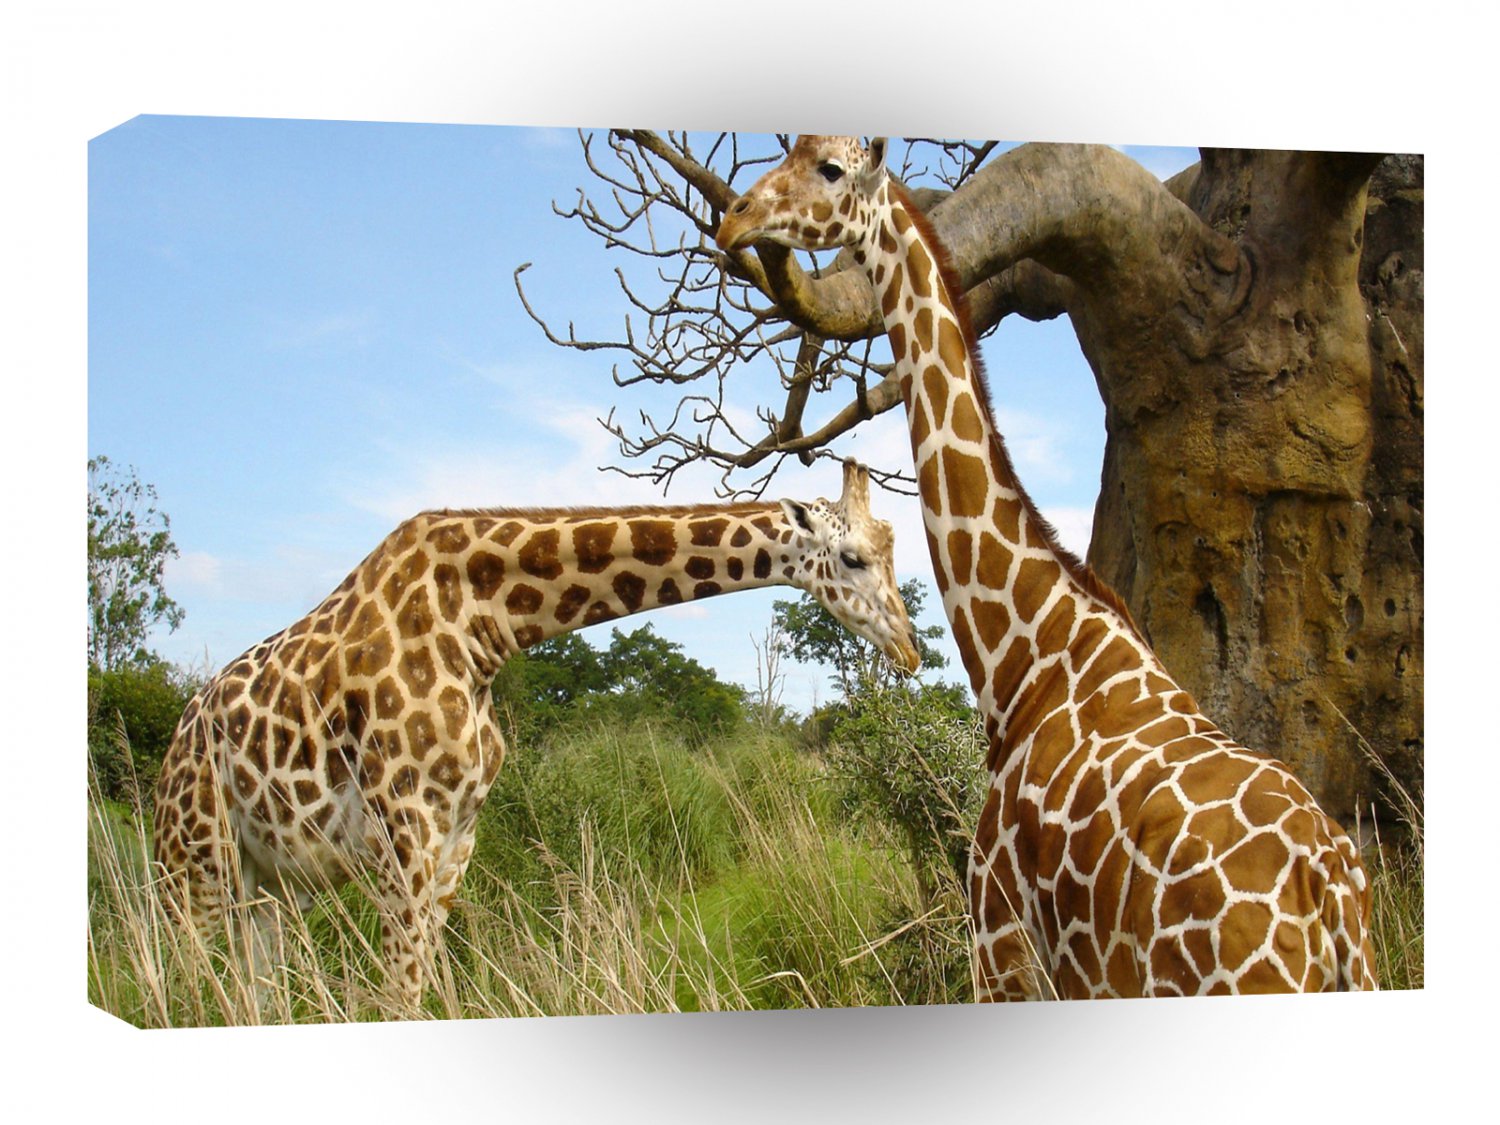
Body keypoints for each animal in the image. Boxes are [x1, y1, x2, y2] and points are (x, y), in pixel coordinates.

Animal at [152, 460, 919, 1011]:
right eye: (854, 558)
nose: (911, 652)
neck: (481, 624)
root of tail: (173, 749)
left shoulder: (457, 837)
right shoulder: (404, 830)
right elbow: (399, 997)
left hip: (272, 885)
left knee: (253, 995)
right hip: (193, 866)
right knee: (188, 986)